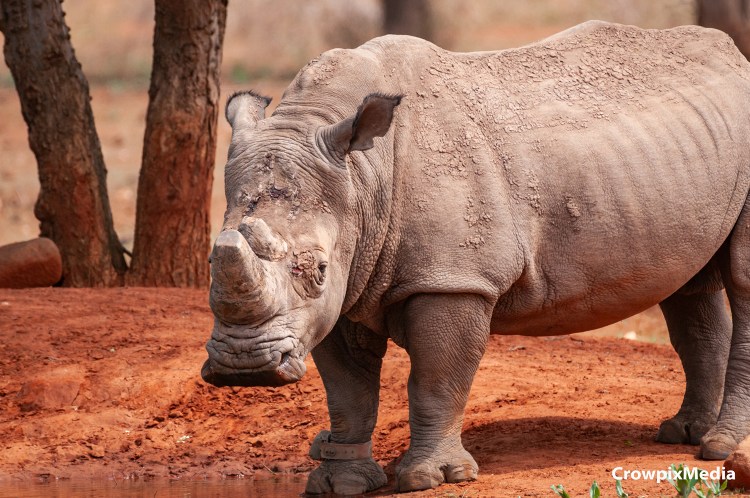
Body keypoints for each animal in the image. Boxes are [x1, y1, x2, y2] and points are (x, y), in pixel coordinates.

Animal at [201, 21, 750, 494]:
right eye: (211, 260)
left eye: (315, 269)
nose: (244, 366)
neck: (361, 175)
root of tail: (736, 61)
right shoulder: (346, 280)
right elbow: (347, 390)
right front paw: (343, 483)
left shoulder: (453, 278)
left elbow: (437, 377)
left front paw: (433, 479)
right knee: (690, 287)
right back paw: (682, 433)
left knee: (740, 281)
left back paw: (719, 448)